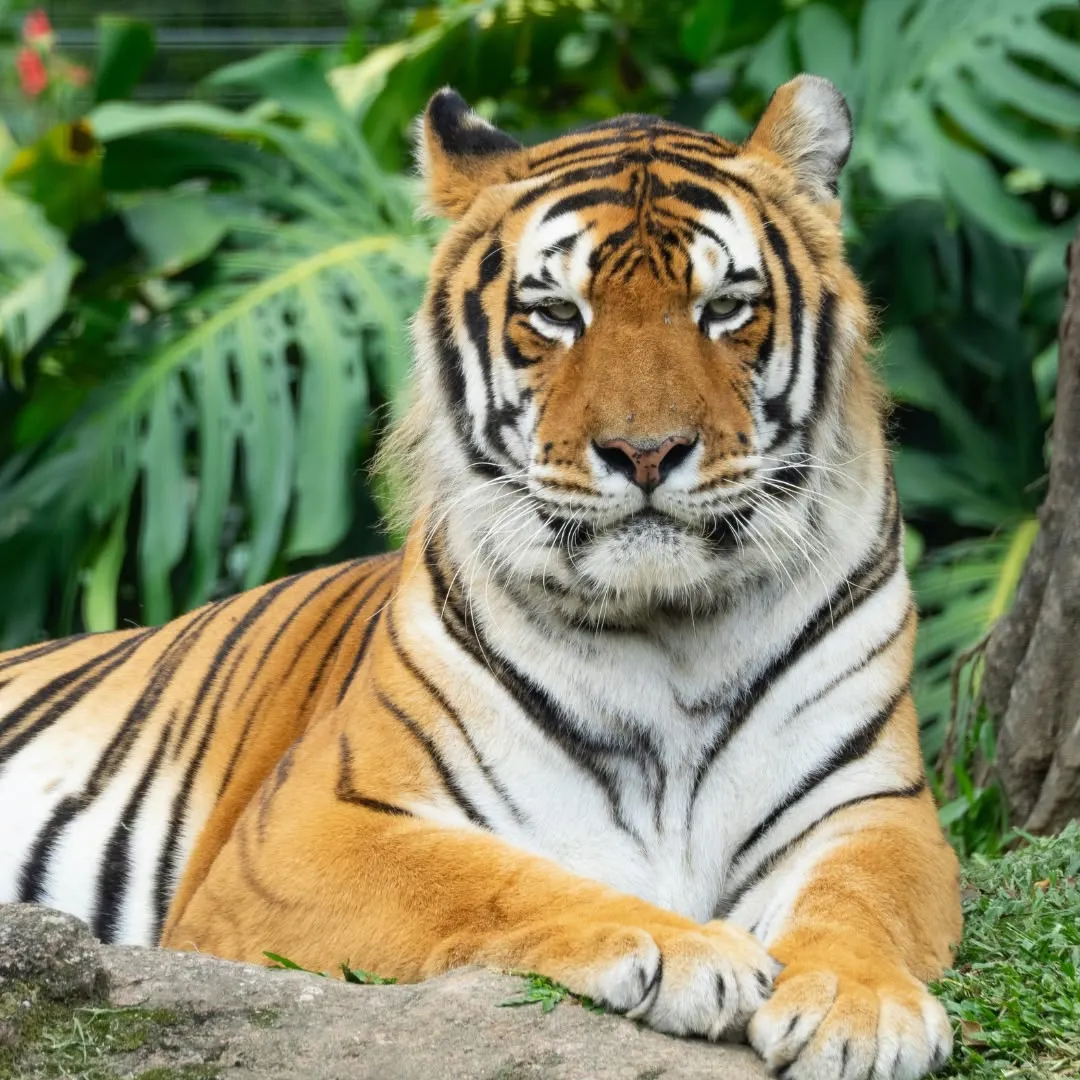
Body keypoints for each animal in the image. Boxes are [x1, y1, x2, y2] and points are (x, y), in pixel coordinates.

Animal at [0, 75, 962, 1079]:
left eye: (726, 307)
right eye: (557, 314)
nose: (645, 452)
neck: (667, 634)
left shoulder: (877, 806)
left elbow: (862, 898)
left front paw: (864, 1007)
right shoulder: (308, 829)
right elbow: (500, 879)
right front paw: (690, 948)